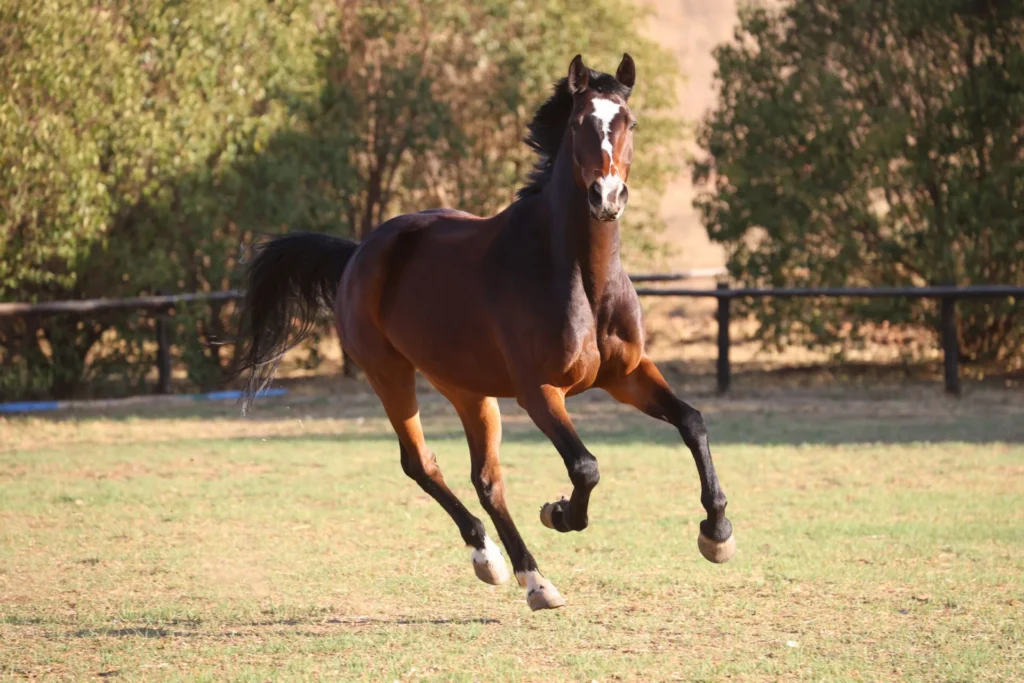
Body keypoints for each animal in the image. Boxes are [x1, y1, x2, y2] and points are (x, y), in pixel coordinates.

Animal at [231, 54, 735, 611]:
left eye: (630, 122)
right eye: (579, 123)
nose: (607, 196)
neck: (581, 277)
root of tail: (359, 252)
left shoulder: (627, 375)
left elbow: (692, 423)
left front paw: (717, 533)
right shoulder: (540, 392)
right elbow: (585, 467)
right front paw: (560, 513)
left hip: (468, 390)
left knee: (486, 480)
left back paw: (526, 576)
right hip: (390, 374)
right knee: (421, 464)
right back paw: (499, 562)